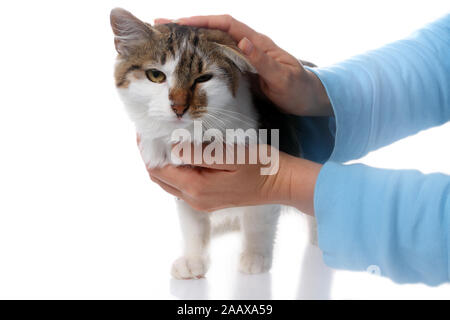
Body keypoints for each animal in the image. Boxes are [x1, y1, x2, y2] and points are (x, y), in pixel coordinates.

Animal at [110, 8, 312, 280]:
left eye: (203, 78)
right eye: (156, 75)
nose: (178, 107)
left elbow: (258, 218)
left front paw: (255, 257)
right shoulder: (183, 188)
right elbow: (193, 224)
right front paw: (194, 260)